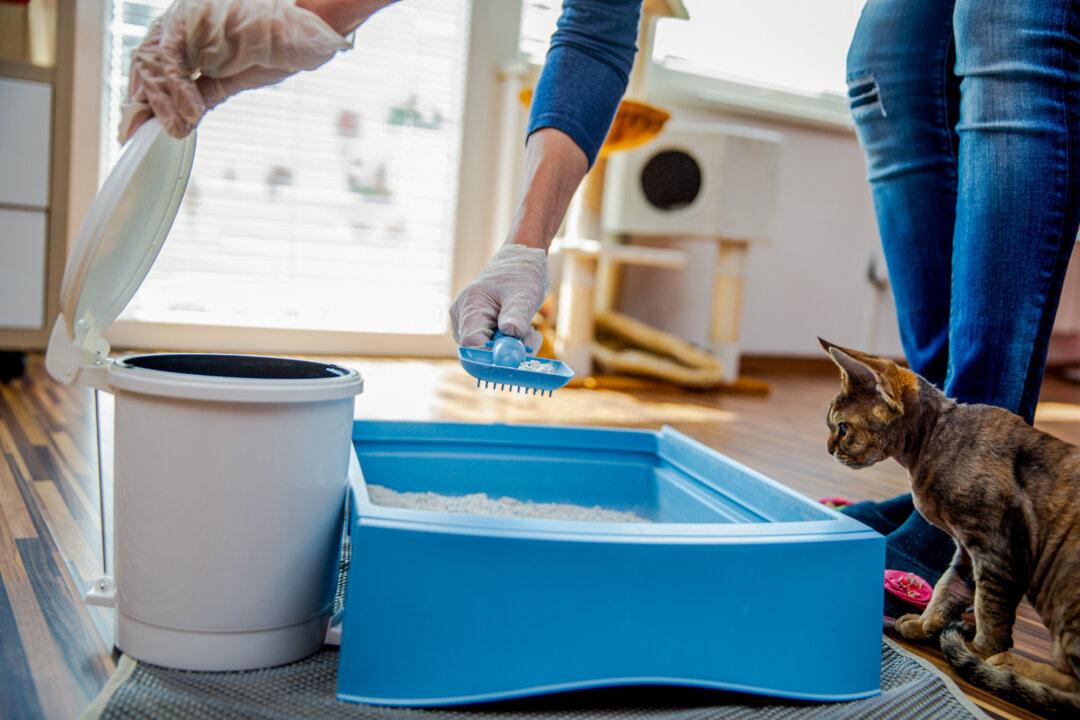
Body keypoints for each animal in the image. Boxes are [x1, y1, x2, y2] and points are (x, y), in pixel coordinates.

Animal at [820, 341, 1075, 716]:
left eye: (841, 428)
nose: (828, 450)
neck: (933, 443)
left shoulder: (996, 551)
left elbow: (990, 610)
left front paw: (980, 651)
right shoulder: (967, 551)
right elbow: (948, 587)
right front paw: (926, 623)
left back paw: (1009, 665)